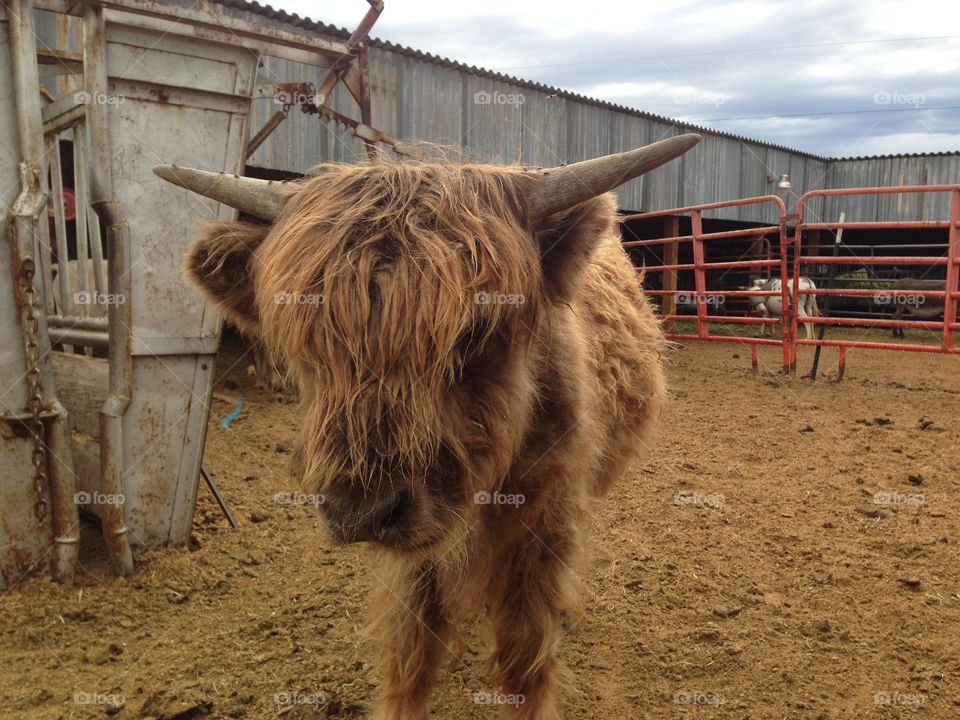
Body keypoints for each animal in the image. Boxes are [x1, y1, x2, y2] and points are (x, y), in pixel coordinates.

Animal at [154, 132, 700, 716]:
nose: (362, 511)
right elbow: (411, 656)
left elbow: (525, 658)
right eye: (305, 336)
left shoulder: (545, 523)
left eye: (477, 329)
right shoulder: (418, 556)